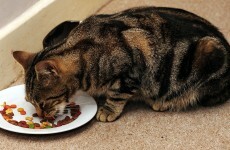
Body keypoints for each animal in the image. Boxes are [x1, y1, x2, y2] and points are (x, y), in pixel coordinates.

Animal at [13, 7, 230, 122]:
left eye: (42, 103)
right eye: (30, 102)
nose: (40, 116)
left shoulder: (133, 66)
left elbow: (117, 94)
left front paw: (108, 110)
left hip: (209, 53)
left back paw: (163, 102)